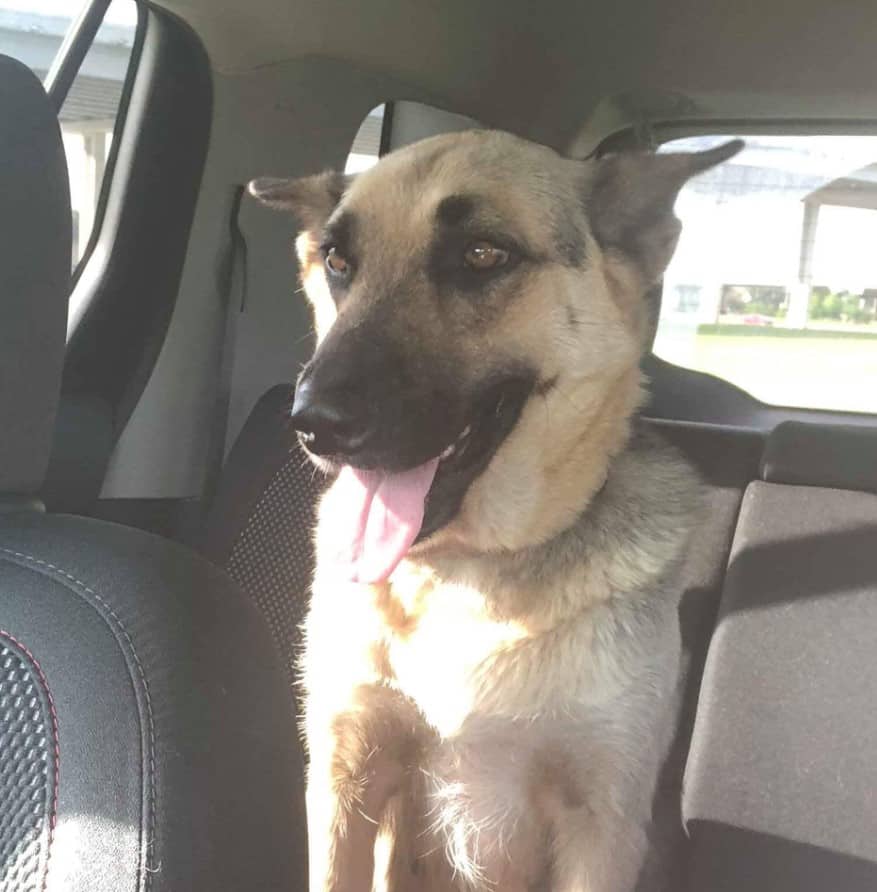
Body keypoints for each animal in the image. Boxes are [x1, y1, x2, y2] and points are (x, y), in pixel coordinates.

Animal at [246, 132, 740, 892]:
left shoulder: (600, 825)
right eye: (337, 263)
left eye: (482, 255)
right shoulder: (344, 779)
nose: (313, 423)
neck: (466, 576)